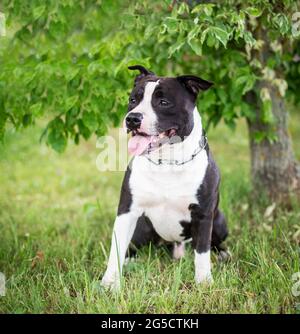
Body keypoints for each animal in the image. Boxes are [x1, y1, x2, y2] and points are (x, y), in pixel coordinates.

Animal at [101, 65, 227, 290]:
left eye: (164, 102)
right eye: (133, 100)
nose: (132, 118)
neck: (168, 162)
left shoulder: (204, 214)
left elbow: (202, 252)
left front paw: (204, 281)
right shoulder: (126, 211)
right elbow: (116, 249)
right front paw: (110, 283)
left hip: (219, 219)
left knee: (212, 243)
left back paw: (222, 253)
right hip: (141, 227)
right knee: (133, 245)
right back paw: (131, 258)